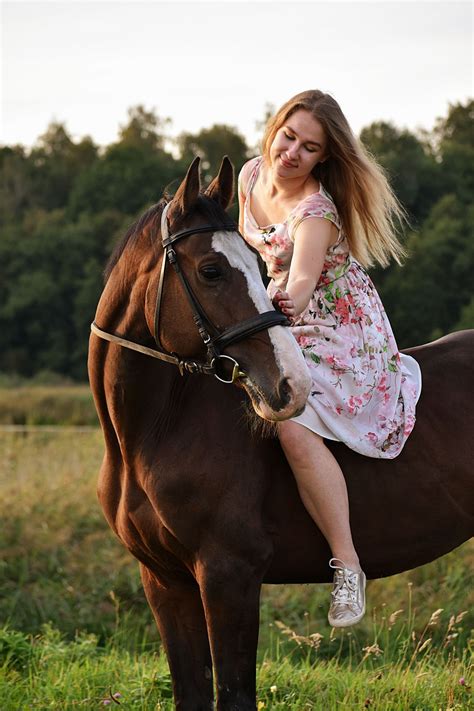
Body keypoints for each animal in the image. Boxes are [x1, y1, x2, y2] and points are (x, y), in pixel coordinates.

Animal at [89, 157, 474, 711]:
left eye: (254, 265)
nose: (291, 385)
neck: (153, 435)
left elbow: (234, 694)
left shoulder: (229, 578)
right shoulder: (165, 582)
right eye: (211, 271)